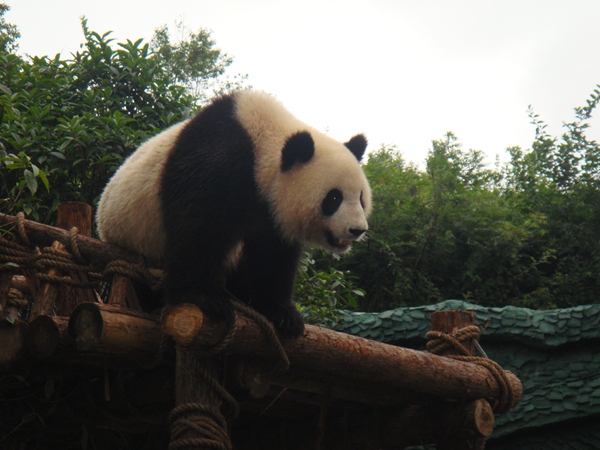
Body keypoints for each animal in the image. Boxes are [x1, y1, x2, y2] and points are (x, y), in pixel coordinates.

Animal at [95, 90, 370, 338]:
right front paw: (205, 299)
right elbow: (197, 230)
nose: (357, 230)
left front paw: (283, 314)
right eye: (333, 198)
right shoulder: (218, 161)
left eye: (360, 198)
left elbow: (273, 255)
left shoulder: (270, 212)